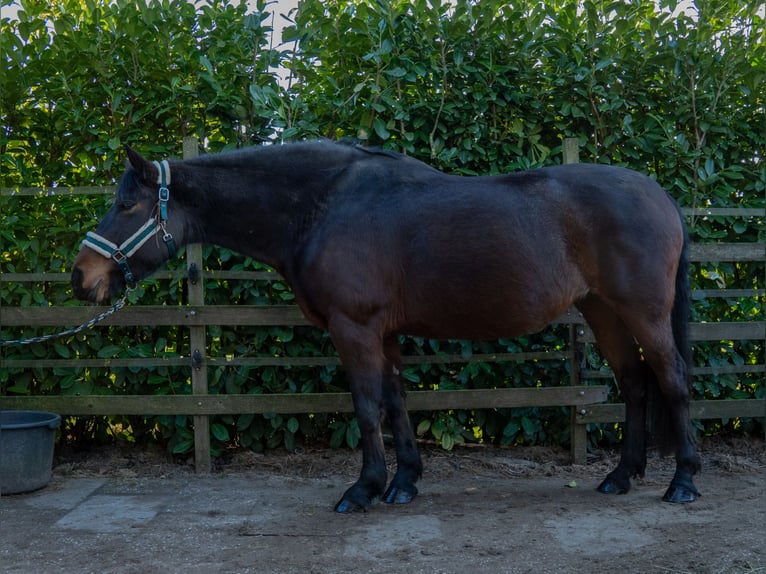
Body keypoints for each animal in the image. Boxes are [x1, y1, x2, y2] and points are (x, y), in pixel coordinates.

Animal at [72, 141, 701, 512]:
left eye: (127, 206)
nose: (82, 277)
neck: (323, 207)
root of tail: (661, 196)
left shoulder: (353, 329)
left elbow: (367, 405)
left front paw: (364, 488)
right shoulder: (385, 332)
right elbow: (398, 401)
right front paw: (404, 483)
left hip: (643, 313)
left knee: (672, 383)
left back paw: (683, 482)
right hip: (603, 311)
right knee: (635, 384)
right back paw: (622, 475)